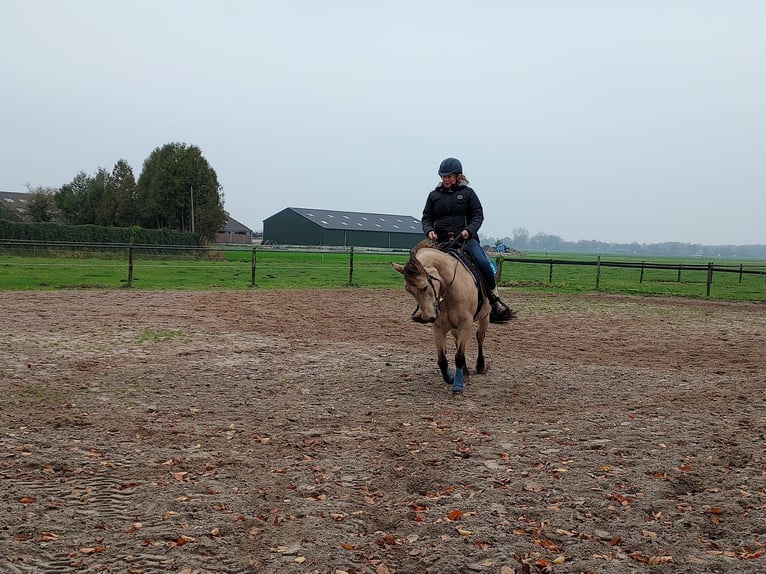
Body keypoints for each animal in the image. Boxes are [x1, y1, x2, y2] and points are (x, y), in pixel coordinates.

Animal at [392, 240, 497, 394]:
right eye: (409, 290)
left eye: (425, 287)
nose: (428, 317)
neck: (450, 289)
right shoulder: (439, 327)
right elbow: (442, 360)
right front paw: (451, 378)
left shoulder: (466, 324)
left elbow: (459, 356)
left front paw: (458, 386)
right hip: (454, 328)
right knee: (458, 340)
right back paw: (465, 372)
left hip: (484, 317)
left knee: (480, 337)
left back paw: (480, 365)